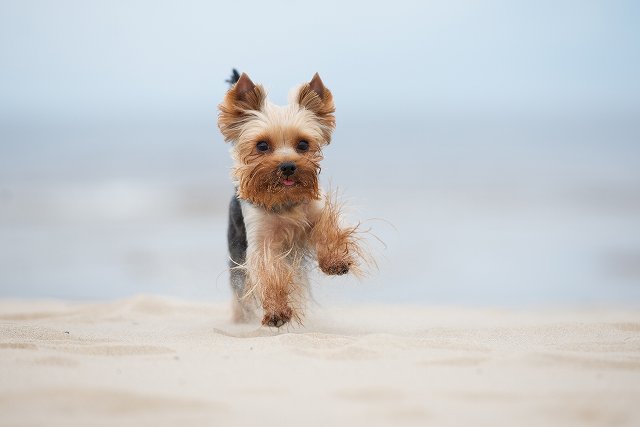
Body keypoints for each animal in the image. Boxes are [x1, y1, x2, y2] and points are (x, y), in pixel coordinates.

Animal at [219, 70, 364, 328]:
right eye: (262, 145)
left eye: (303, 144)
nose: (287, 166)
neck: (284, 199)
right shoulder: (261, 241)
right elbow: (268, 270)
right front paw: (277, 312)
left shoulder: (318, 210)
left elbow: (327, 229)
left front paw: (334, 261)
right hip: (236, 248)